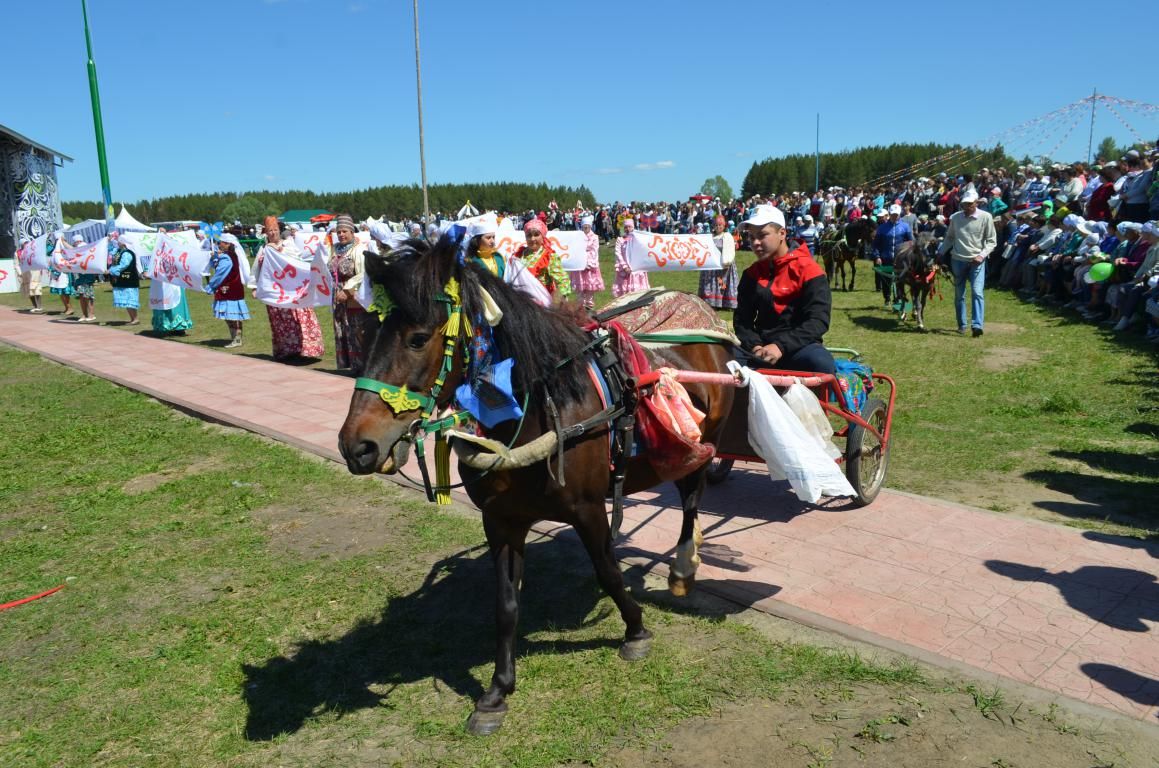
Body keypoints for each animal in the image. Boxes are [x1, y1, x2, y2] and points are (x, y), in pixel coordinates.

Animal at [338, 236, 732, 741]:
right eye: (369, 334)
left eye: (417, 338)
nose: (356, 446)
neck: (539, 410)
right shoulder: (501, 520)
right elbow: (506, 603)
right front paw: (497, 691)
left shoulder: (587, 509)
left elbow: (608, 571)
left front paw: (635, 631)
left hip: (703, 439)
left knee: (692, 497)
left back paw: (684, 566)